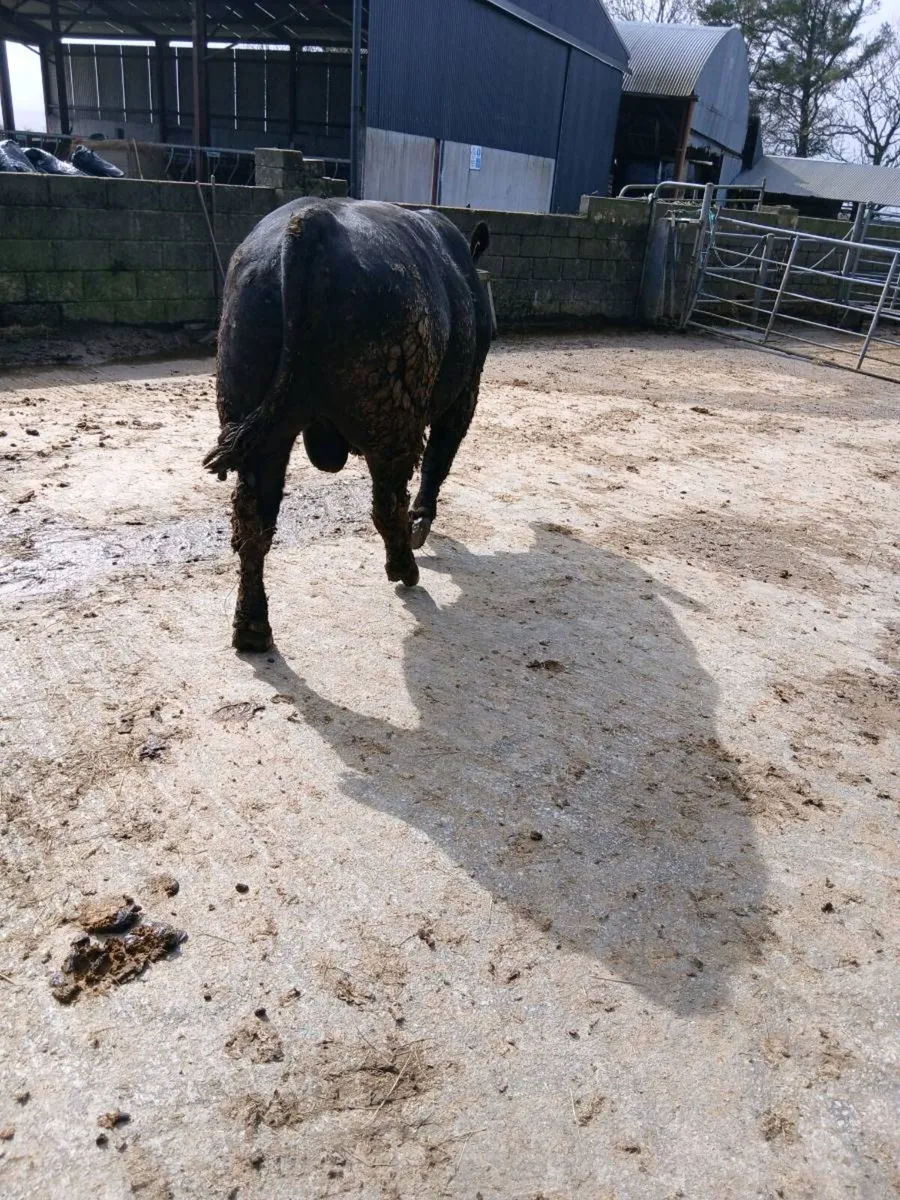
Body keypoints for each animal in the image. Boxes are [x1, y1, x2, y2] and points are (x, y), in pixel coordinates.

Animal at [203, 197, 493, 652]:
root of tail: (311, 223)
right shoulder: (464, 393)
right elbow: (439, 460)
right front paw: (422, 522)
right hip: (390, 424)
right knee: (387, 502)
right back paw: (404, 567)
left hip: (256, 425)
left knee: (253, 522)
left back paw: (251, 628)